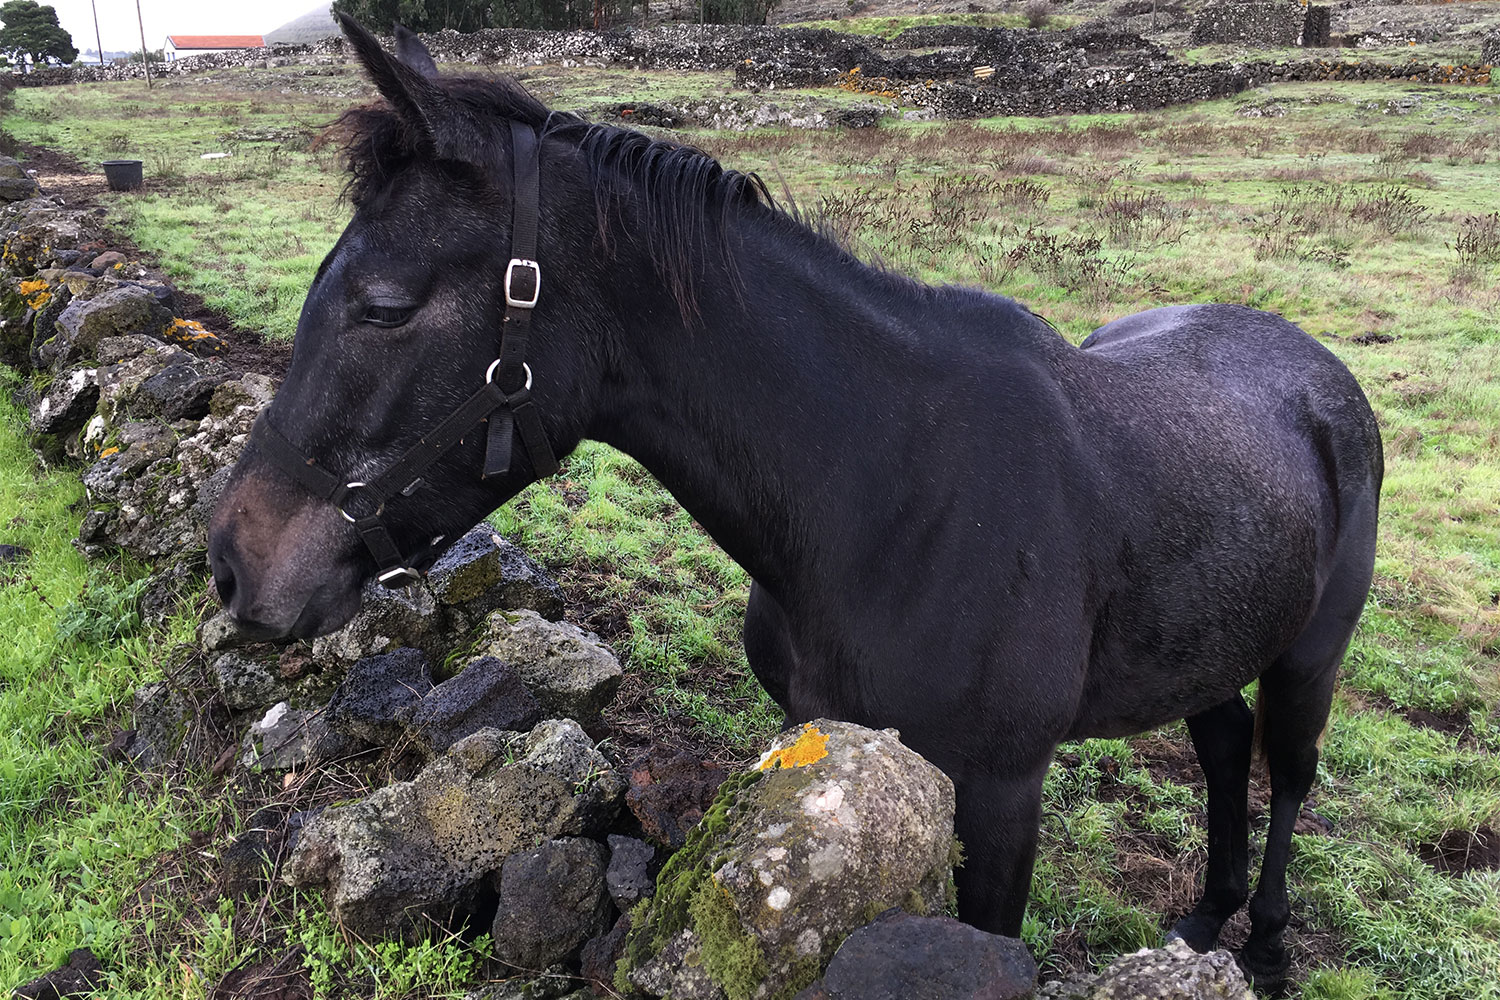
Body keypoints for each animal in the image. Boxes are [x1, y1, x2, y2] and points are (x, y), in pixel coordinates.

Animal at [207, 17, 1382, 985]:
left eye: (382, 306)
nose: (230, 561)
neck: (887, 493)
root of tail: (1315, 366)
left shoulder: (1002, 792)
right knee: (1224, 751)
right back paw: (1203, 920)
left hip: (1307, 659)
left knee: (1286, 773)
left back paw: (1264, 944)